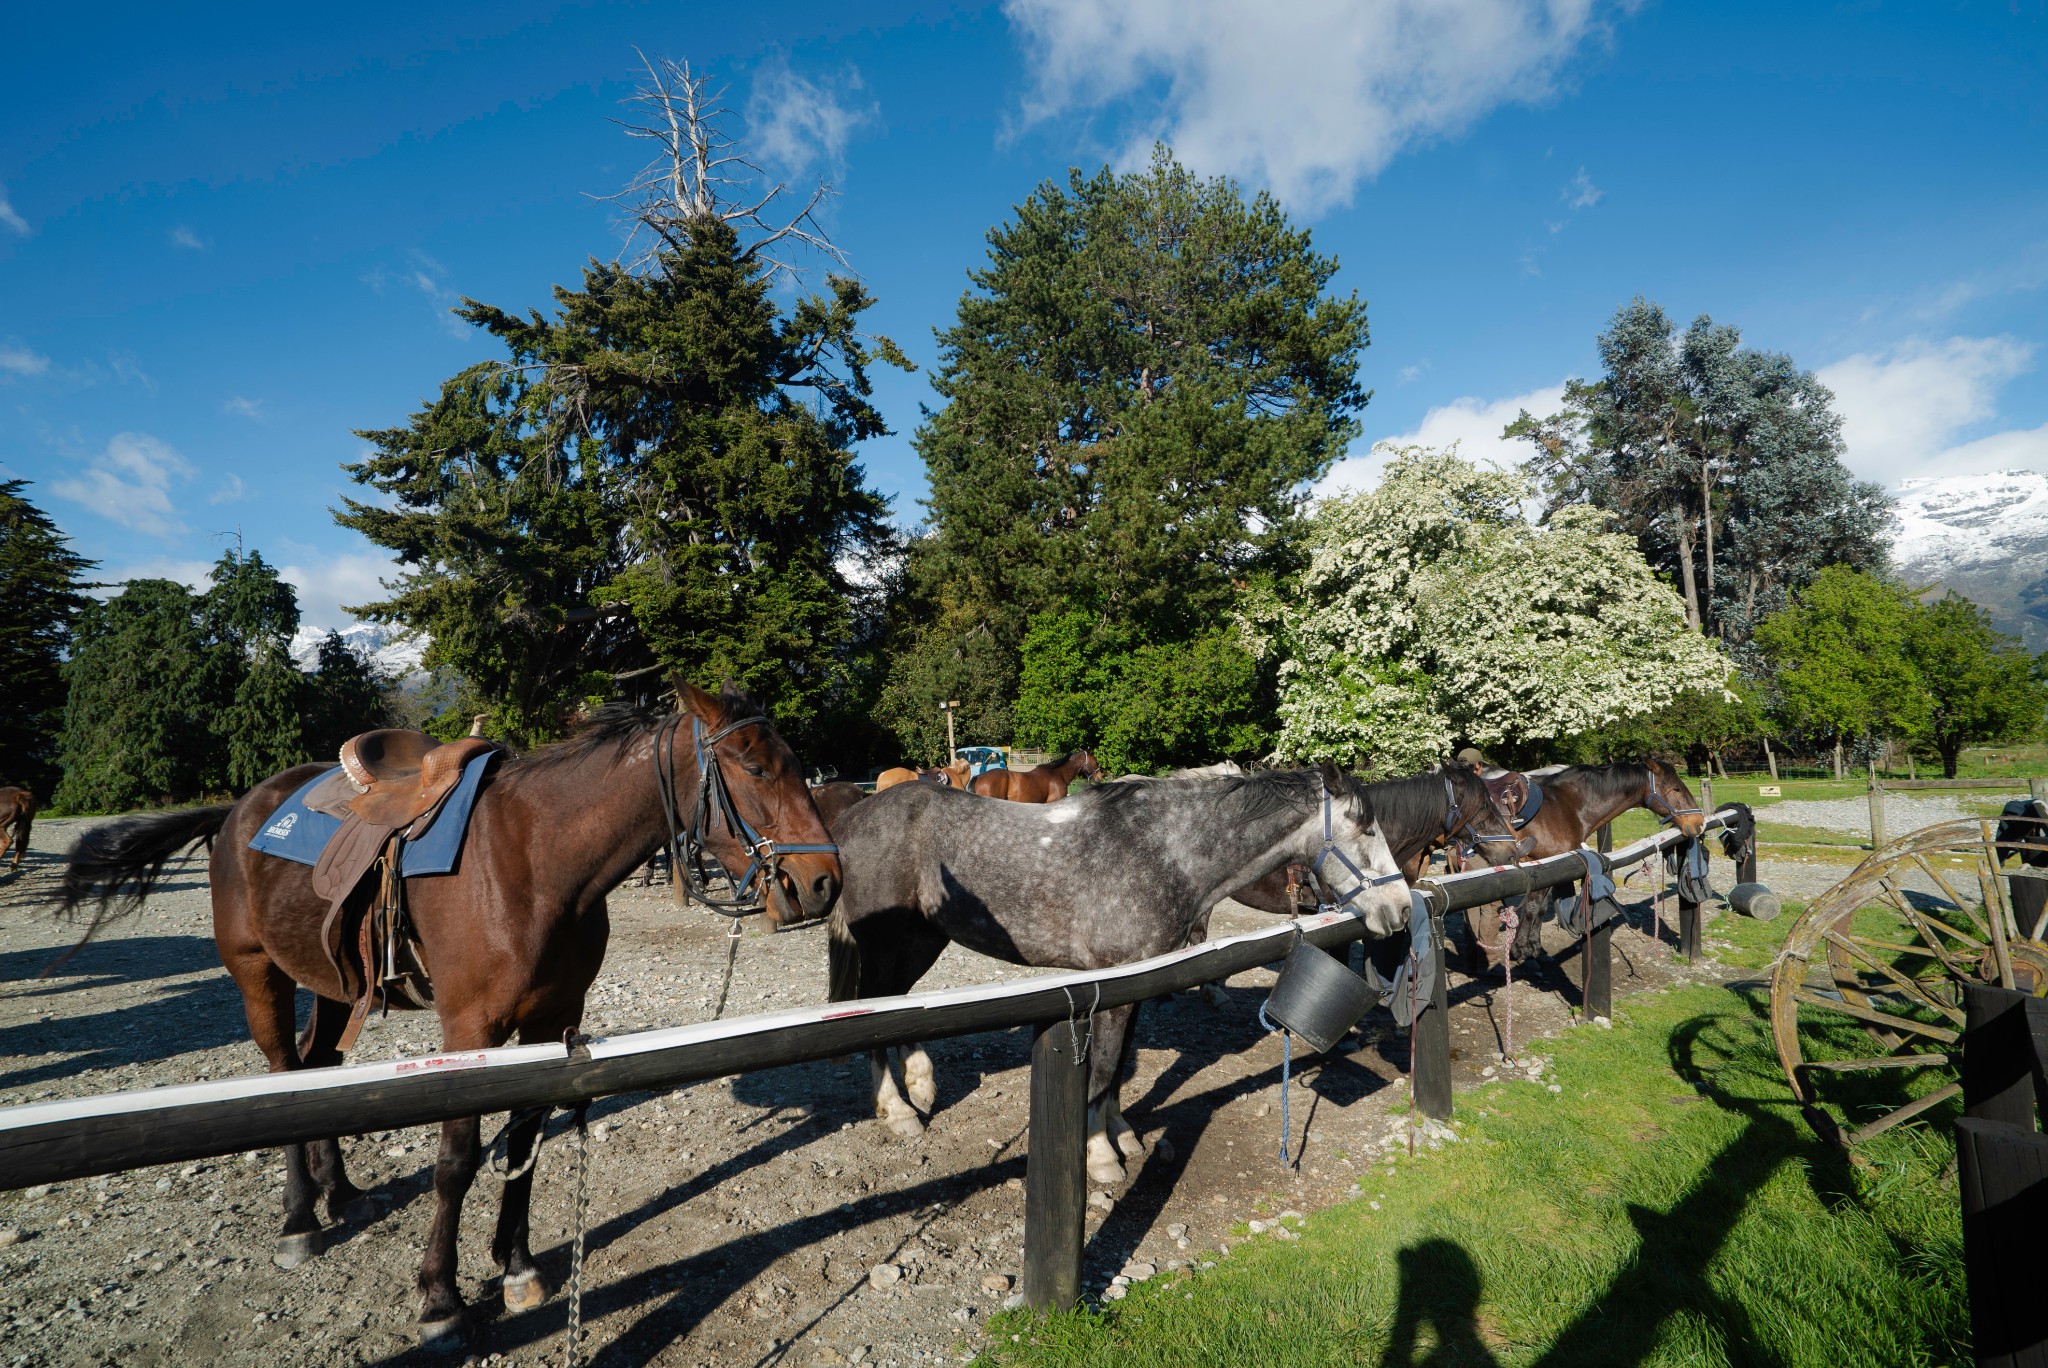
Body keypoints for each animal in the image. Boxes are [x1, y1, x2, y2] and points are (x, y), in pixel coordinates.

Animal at [56, 684, 839, 1343]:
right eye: (754, 766)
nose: (823, 882)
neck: (534, 860)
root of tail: (239, 811)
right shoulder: (470, 1029)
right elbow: (457, 1161)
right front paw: (440, 1298)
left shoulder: (552, 1022)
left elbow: (522, 1144)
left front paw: (516, 1267)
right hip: (260, 977)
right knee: (284, 1076)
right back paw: (301, 1217)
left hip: (338, 986)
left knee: (321, 1068)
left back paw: (343, 1193)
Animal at [823, 770, 1417, 1187]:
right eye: (1366, 829)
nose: (1401, 909)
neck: (1163, 853)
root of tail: (846, 824)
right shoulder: (1112, 983)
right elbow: (1105, 1068)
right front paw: (1101, 1156)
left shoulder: (1138, 981)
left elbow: (1117, 1066)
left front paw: (1122, 1134)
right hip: (889, 941)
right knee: (871, 1009)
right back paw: (898, 1111)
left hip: (923, 938)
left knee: (894, 1004)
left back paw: (921, 1083)